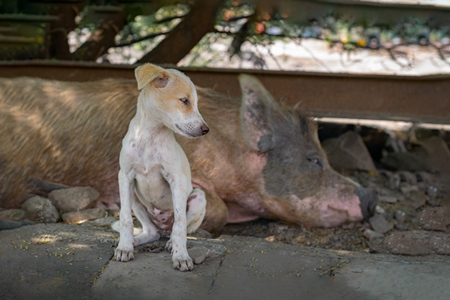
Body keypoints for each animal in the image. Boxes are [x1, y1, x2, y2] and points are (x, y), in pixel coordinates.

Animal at [114, 63, 209, 272]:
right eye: (184, 100)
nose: (206, 130)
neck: (149, 135)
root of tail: (162, 227)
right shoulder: (125, 176)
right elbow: (125, 218)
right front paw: (124, 247)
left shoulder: (176, 180)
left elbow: (180, 223)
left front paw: (181, 257)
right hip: (134, 198)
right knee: (151, 232)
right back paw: (134, 240)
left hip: (198, 197)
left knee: (177, 229)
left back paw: (172, 243)